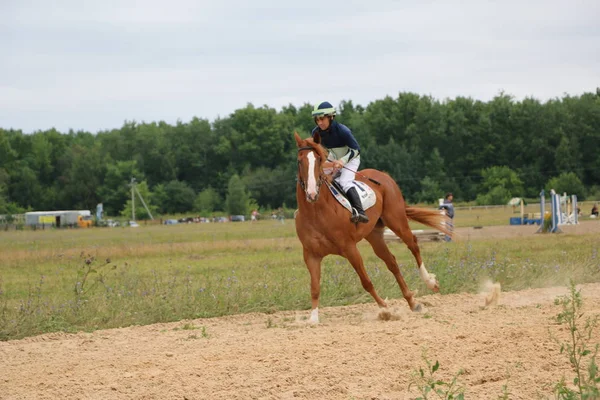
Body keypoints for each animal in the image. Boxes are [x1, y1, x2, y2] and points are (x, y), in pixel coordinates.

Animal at [292, 133, 452, 324]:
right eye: (300, 161)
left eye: (318, 160)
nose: (311, 193)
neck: (317, 212)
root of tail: (384, 175)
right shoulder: (311, 255)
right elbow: (315, 287)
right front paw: (313, 319)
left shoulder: (350, 249)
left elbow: (366, 281)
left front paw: (385, 309)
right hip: (374, 235)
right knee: (392, 262)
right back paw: (412, 302)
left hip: (397, 221)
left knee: (413, 245)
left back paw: (430, 282)